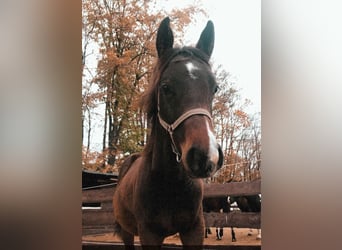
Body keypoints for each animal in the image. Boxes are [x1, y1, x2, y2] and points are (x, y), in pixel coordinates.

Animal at [113, 16, 223, 249]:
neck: (171, 185)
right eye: (165, 87)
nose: (205, 156)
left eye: (215, 88)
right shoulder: (149, 234)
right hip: (127, 231)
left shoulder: (194, 230)